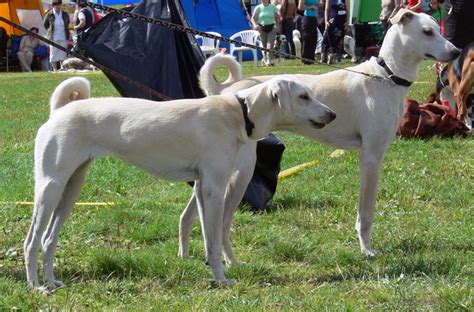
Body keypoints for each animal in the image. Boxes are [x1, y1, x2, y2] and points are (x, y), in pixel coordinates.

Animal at [24, 75, 336, 292]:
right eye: (303, 96)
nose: (332, 114)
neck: (240, 112)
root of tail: (59, 110)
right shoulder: (214, 189)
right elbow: (214, 241)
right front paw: (222, 280)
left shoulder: (201, 187)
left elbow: (206, 237)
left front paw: (213, 271)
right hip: (50, 189)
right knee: (32, 242)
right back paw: (36, 286)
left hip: (71, 189)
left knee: (49, 240)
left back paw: (51, 281)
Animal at [178, 9, 460, 264]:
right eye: (427, 32)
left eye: (437, 28)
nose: (457, 52)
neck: (384, 76)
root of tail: (225, 89)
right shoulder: (371, 157)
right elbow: (366, 213)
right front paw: (366, 250)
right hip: (240, 170)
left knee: (188, 215)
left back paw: (185, 254)